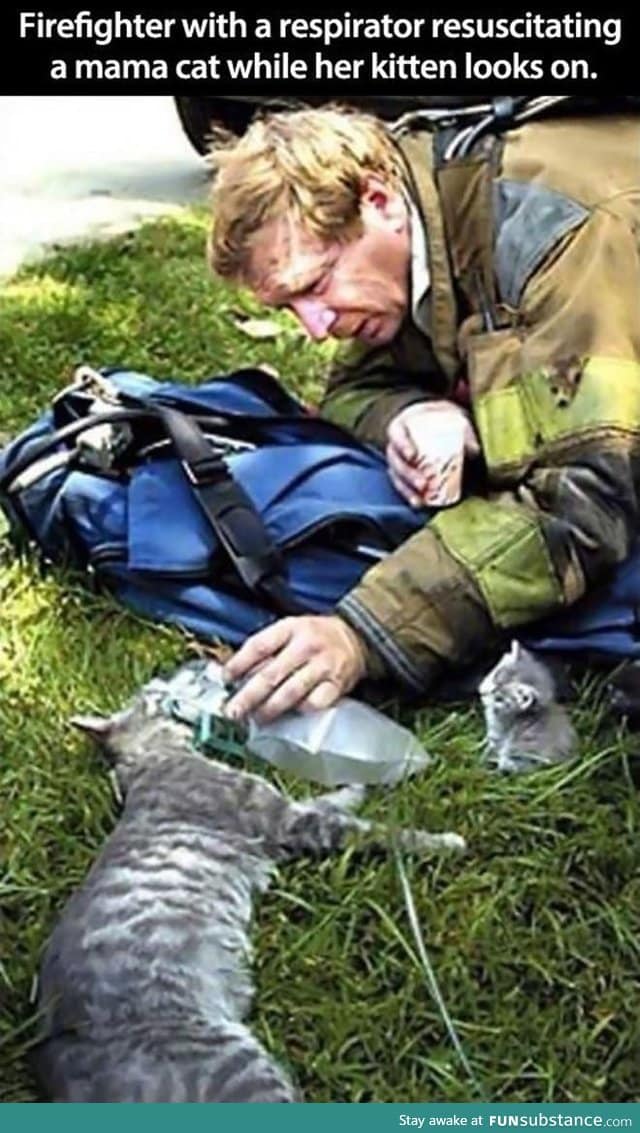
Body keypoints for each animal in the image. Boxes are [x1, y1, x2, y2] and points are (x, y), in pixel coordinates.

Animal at [30, 684, 466, 1101]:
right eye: (149, 696)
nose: (162, 687)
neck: (152, 757)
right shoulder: (288, 821)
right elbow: (379, 832)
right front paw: (445, 841)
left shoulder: (290, 814)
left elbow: (329, 799)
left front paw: (355, 785)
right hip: (242, 1066)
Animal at [473, 643, 573, 774]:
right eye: (495, 675)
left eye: (499, 698)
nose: (483, 693)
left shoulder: (497, 734)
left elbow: (489, 749)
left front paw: (480, 758)